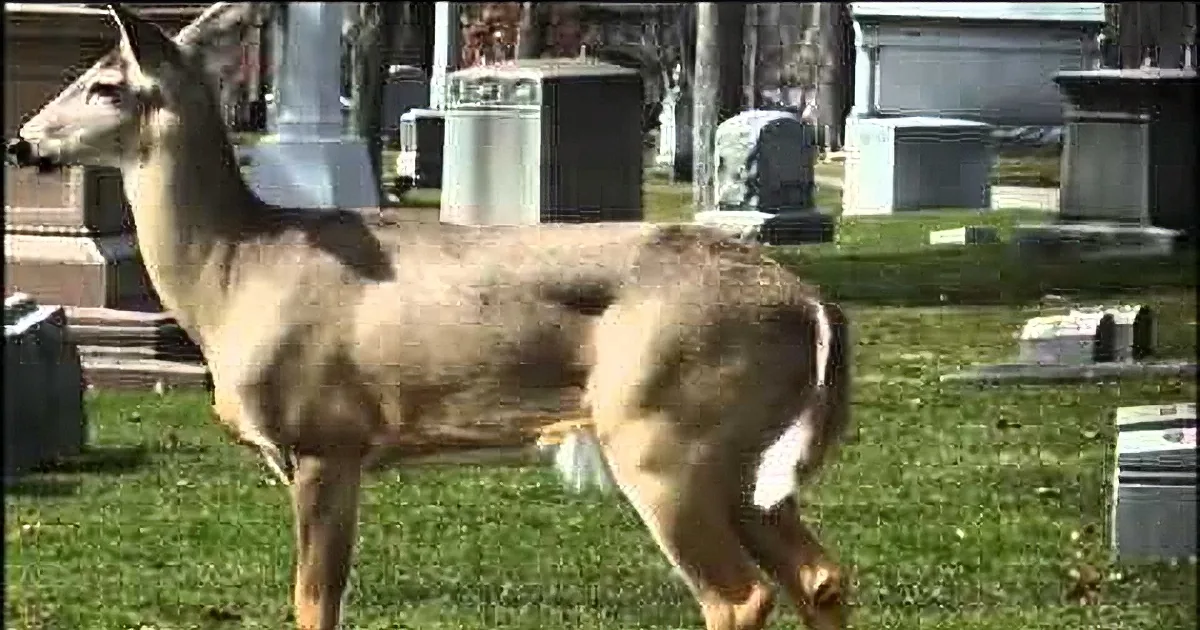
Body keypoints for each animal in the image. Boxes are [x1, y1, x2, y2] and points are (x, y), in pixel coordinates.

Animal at [6, 4, 853, 630]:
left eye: (105, 83)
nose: (21, 142)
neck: (237, 271)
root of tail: (813, 304)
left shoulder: (326, 438)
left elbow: (314, 603)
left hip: (665, 435)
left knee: (740, 596)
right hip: (744, 458)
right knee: (821, 576)